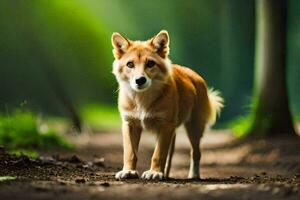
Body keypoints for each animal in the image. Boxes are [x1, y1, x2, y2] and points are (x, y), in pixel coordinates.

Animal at [110, 30, 223, 180]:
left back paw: (193, 175)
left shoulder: (166, 125)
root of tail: (196, 76)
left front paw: (154, 172)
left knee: (196, 153)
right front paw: (129, 171)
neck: (142, 100)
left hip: (194, 127)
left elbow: (158, 154)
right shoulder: (130, 124)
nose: (140, 80)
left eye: (150, 63)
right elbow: (130, 152)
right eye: (130, 64)